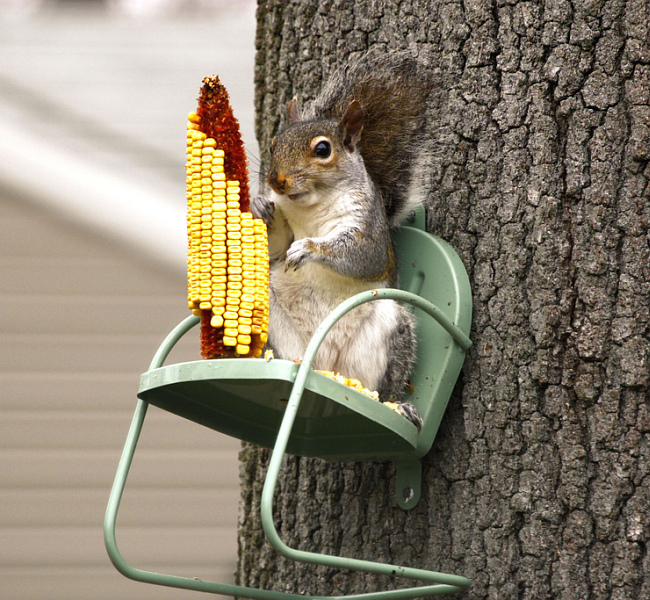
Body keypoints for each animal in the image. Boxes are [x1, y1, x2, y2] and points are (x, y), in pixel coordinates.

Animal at [251, 50, 432, 426]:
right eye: (274, 144)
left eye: (323, 150)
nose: (276, 181)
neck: (310, 205)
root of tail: (323, 367)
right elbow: (277, 245)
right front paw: (260, 206)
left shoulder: (368, 227)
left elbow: (362, 256)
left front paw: (309, 248)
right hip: (280, 329)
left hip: (386, 330)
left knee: (383, 385)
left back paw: (397, 405)